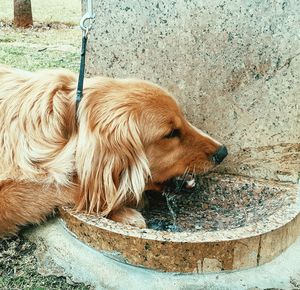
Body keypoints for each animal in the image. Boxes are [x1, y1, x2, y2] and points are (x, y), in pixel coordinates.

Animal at [0, 65, 227, 236]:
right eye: (170, 133)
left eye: (184, 119)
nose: (223, 152)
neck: (68, 129)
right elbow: (68, 188)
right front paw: (126, 209)